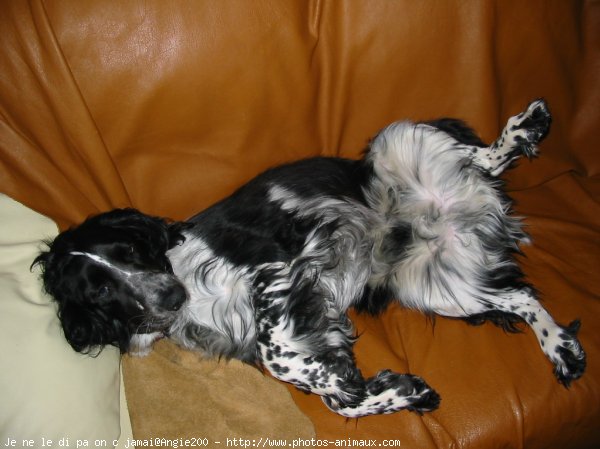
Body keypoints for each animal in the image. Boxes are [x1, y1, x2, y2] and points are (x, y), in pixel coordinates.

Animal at [32, 100, 584, 416]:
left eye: (128, 251)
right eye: (101, 291)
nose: (169, 295)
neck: (188, 282)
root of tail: (467, 208)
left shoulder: (272, 266)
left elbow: (281, 356)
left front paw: (348, 380)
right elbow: (340, 401)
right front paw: (399, 391)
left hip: (396, 140)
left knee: (483, 155)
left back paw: (527, 126)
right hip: (438, 287)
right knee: (521, 296)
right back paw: (562, 349)